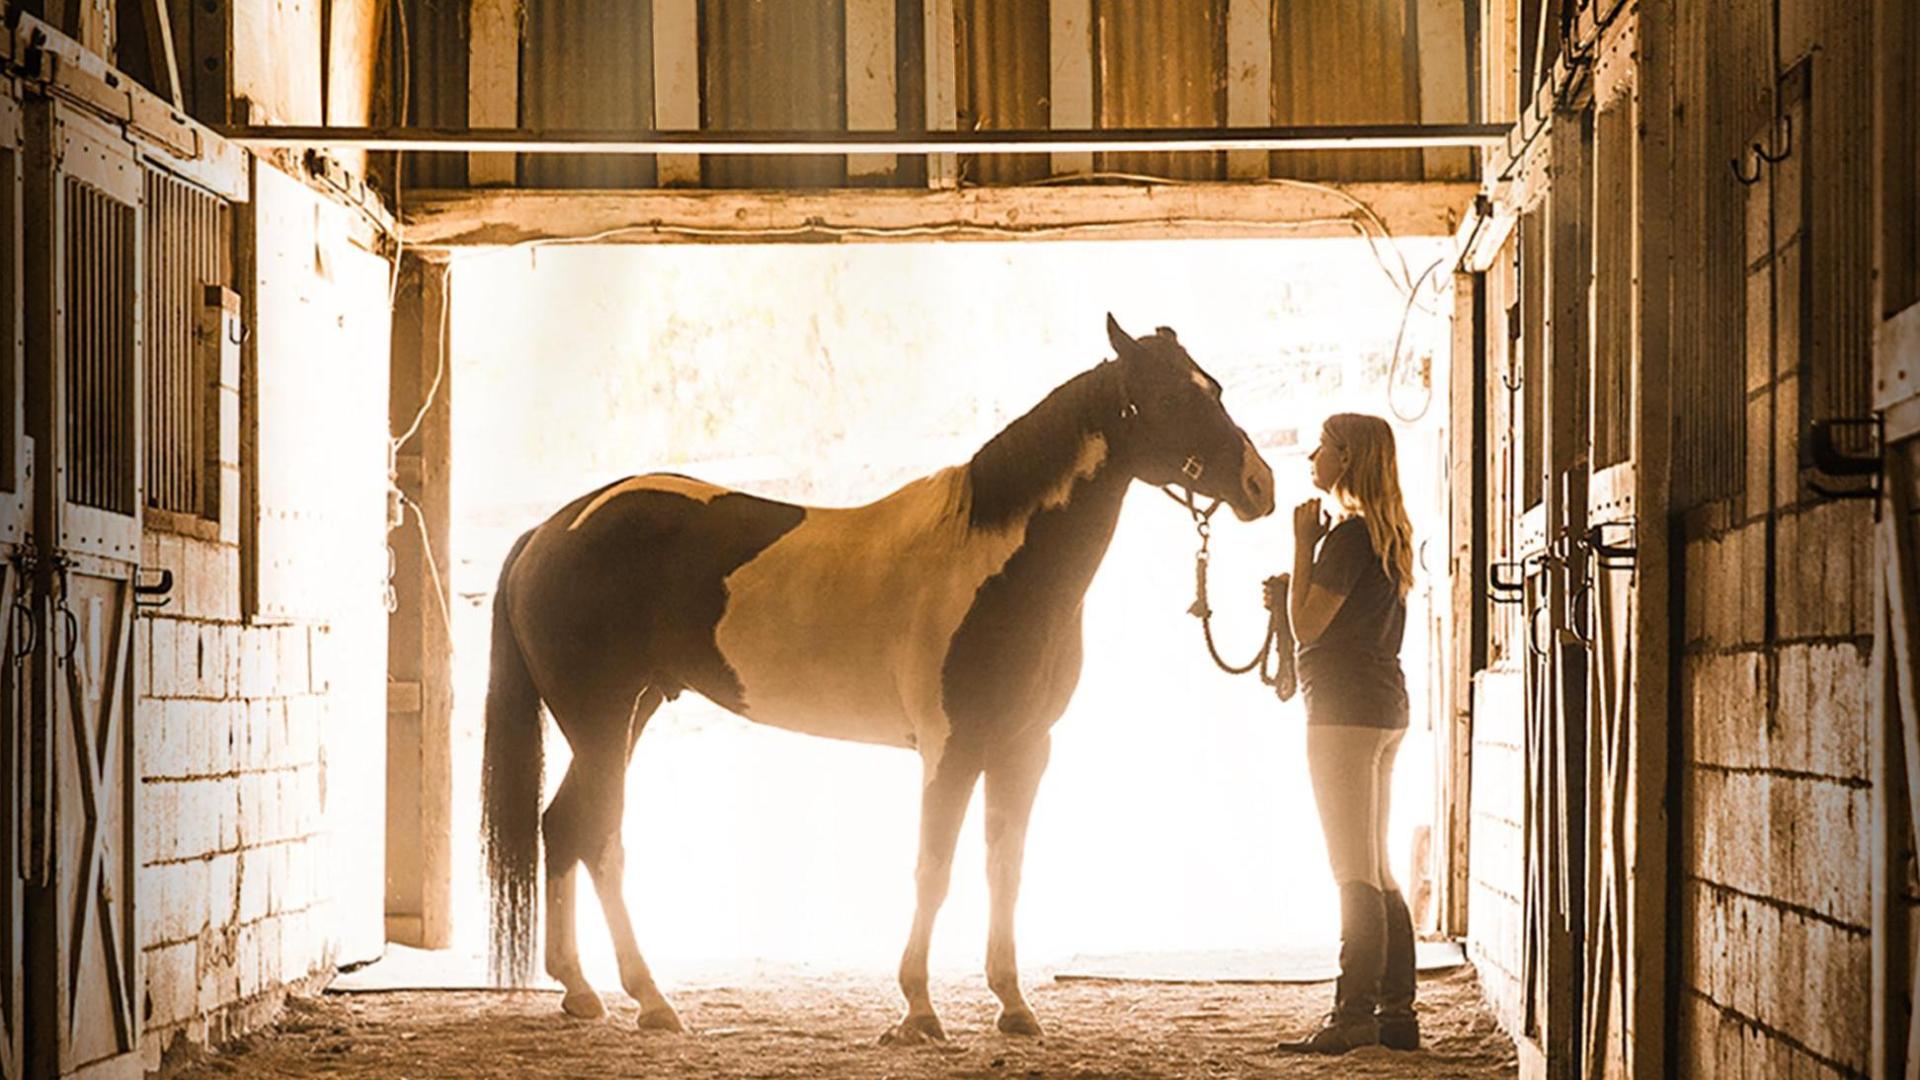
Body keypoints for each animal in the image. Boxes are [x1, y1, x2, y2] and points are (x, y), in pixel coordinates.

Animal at [481, 314, 1276, 1042]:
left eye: (1214, 387)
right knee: (601, 838)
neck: (993, 562)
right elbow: (934, 868)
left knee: (565, 826)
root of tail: (548, 532)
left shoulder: (1024, 748)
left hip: (628, 715)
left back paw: (582, 991)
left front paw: (1014, 1006)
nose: (1259, 486)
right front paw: (919, 1011)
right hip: (601, 721)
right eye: (1171, 396)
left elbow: (1004, 869)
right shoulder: (950, 749)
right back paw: (650, 1000)